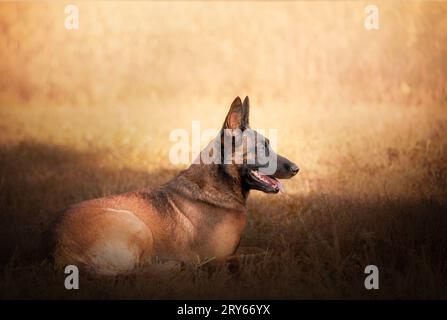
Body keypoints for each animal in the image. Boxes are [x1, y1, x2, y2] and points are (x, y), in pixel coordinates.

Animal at [50, 97, 300, 276]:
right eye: (263, 147)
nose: (296, 168)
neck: (220, 185)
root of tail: (58, 248)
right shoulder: (219, 257)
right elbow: (267, 254)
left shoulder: (234, 250)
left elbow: (263, 248)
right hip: (137, 225)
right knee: (137, 272)